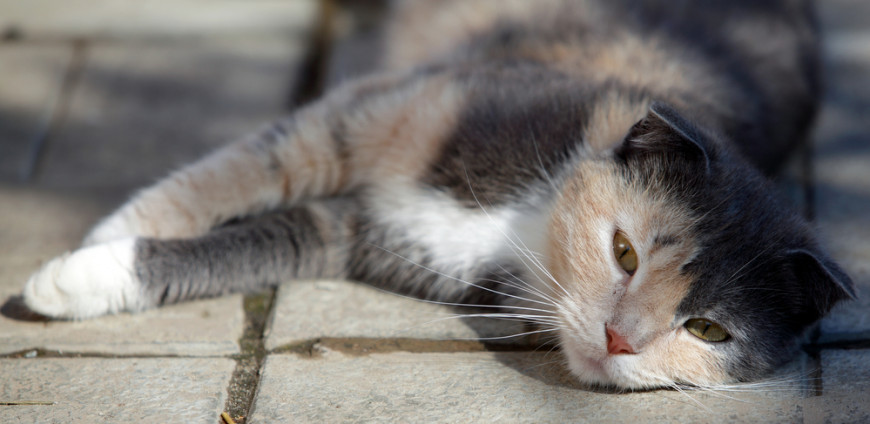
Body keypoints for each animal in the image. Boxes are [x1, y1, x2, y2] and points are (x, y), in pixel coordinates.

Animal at [20, 0, 860, 390]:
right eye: (624, 252)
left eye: (709, 329)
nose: (622, 339)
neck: (526, 219)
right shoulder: (388, 109)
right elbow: (250, 165)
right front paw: (100, 235)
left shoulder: (360, 233)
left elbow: (266, 239)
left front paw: (83, 278)